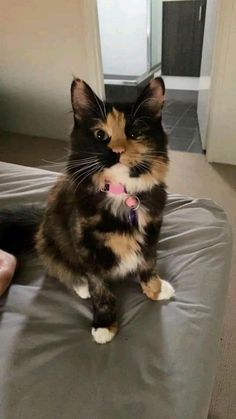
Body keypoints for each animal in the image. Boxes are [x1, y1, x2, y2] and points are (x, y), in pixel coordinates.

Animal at [0, 78, 174, 344]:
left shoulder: (152, 232)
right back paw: (81, 286)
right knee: (62, 268)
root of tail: (39, 224)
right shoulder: (87, 248)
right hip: (50, 244)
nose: (117, 151)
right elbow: (100, 290)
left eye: (134, 133)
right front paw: (104, 325)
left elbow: (148, 264)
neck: (121, 196)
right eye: (100, 135)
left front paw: (155, 289)